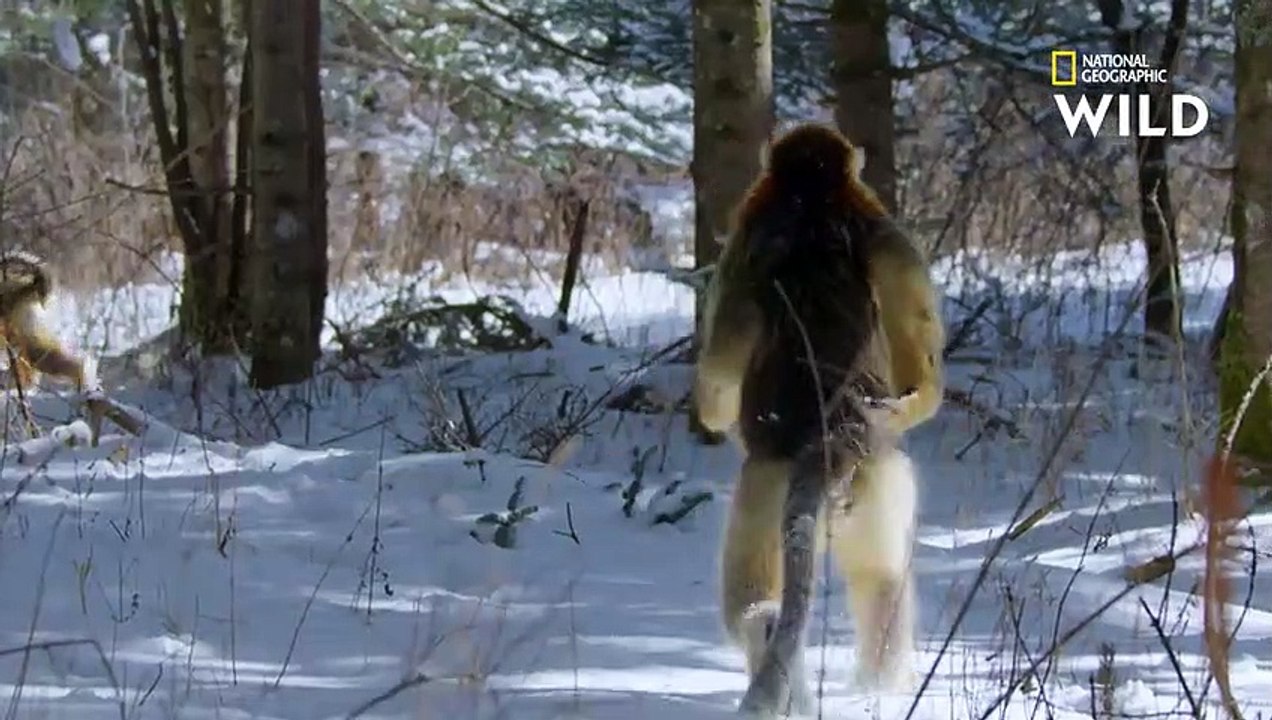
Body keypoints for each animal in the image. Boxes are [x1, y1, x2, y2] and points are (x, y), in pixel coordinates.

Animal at [694, 123, 945, 716]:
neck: (812, 197)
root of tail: (828, 442)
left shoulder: (747, 239)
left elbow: (717, 380)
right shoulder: (883, 236)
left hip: (776, 486)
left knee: (770, 601)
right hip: (861, 485)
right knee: (881, 582)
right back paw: (875, 689)